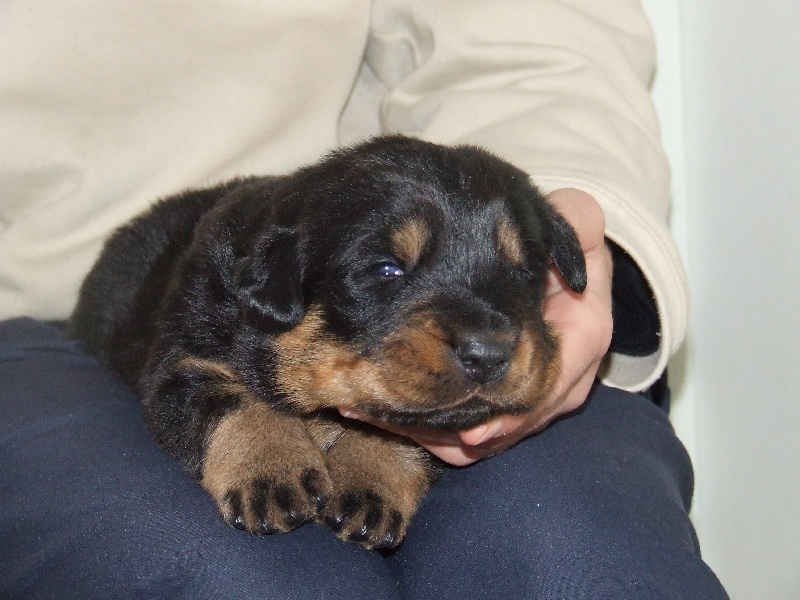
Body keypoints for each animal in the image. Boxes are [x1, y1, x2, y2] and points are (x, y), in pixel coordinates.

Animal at [69, 136, 588, 548]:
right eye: (386, 270)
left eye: (524, 273)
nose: (489, 352)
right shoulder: (182, 359)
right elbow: (232, 398)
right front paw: (271, 467)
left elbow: (398, 426)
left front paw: (370, 477)